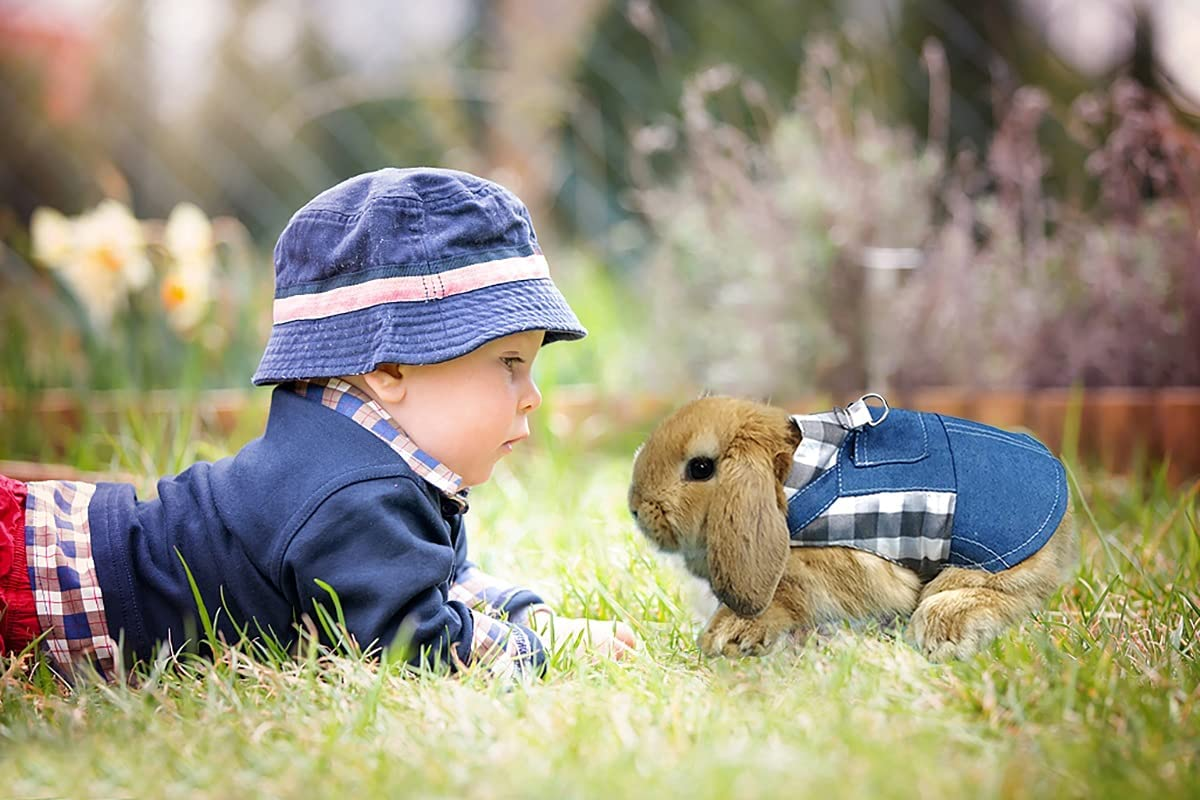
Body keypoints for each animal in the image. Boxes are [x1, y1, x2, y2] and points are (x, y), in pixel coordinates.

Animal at [628, 394, 1075, 661]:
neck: (789, 481)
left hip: (981, 567)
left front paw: (726, 638)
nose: (636, 507)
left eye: (701, 468)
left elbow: (783, 600)